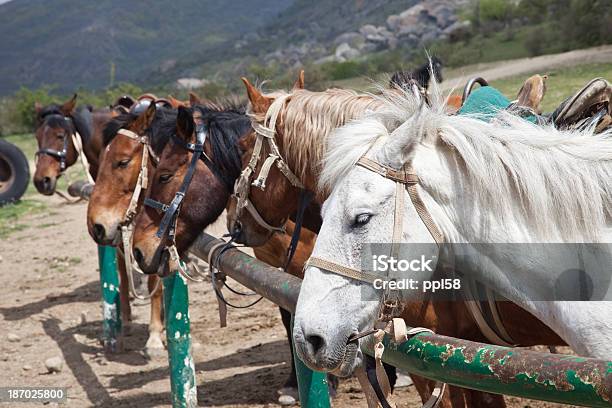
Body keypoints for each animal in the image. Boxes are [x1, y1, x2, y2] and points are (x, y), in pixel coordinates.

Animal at [85, 103, 178, 356]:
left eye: (123, 162)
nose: (95, 226)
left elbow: (155, 284)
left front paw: (155, 335)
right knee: (123, 274)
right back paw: (125, 322)